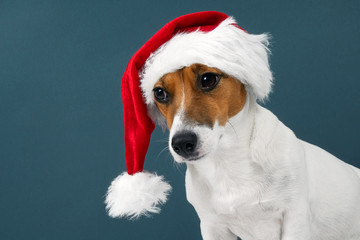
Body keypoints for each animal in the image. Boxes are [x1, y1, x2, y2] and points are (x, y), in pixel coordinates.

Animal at [150, 62, 360, 239]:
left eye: (208, 79)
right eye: (159, 93)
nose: (182, 143)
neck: (228, 163)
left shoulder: (295, 218)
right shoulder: (213, 226)